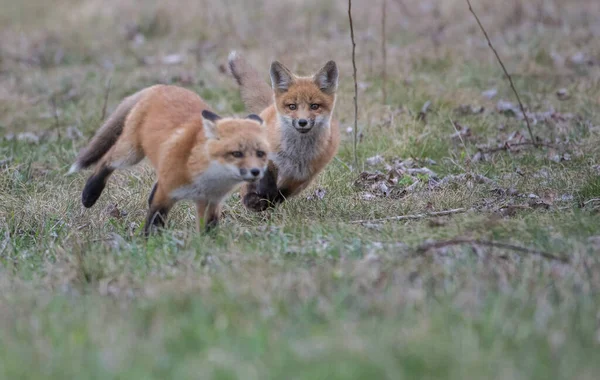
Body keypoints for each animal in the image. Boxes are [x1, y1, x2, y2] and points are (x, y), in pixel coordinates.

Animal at [67, 85, 270, 236]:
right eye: (237, 153)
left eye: (260, 153)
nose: (256, 172)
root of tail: (161, 86)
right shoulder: (166, 193)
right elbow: (153, 222)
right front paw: (148, 244)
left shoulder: (210, 201)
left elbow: (209, 231)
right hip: (130, 154)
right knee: (106, 160)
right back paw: (90, 194)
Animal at [227, 50, 340, 212]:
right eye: (292, 106)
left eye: (314, 106)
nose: (302, 122)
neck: (296, 152)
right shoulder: (269, 158)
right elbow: (266, 183)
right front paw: (261, 199)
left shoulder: (301, 175)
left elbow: (282, 192)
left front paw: (270, 201)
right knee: (247, 186)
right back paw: (251, 200)